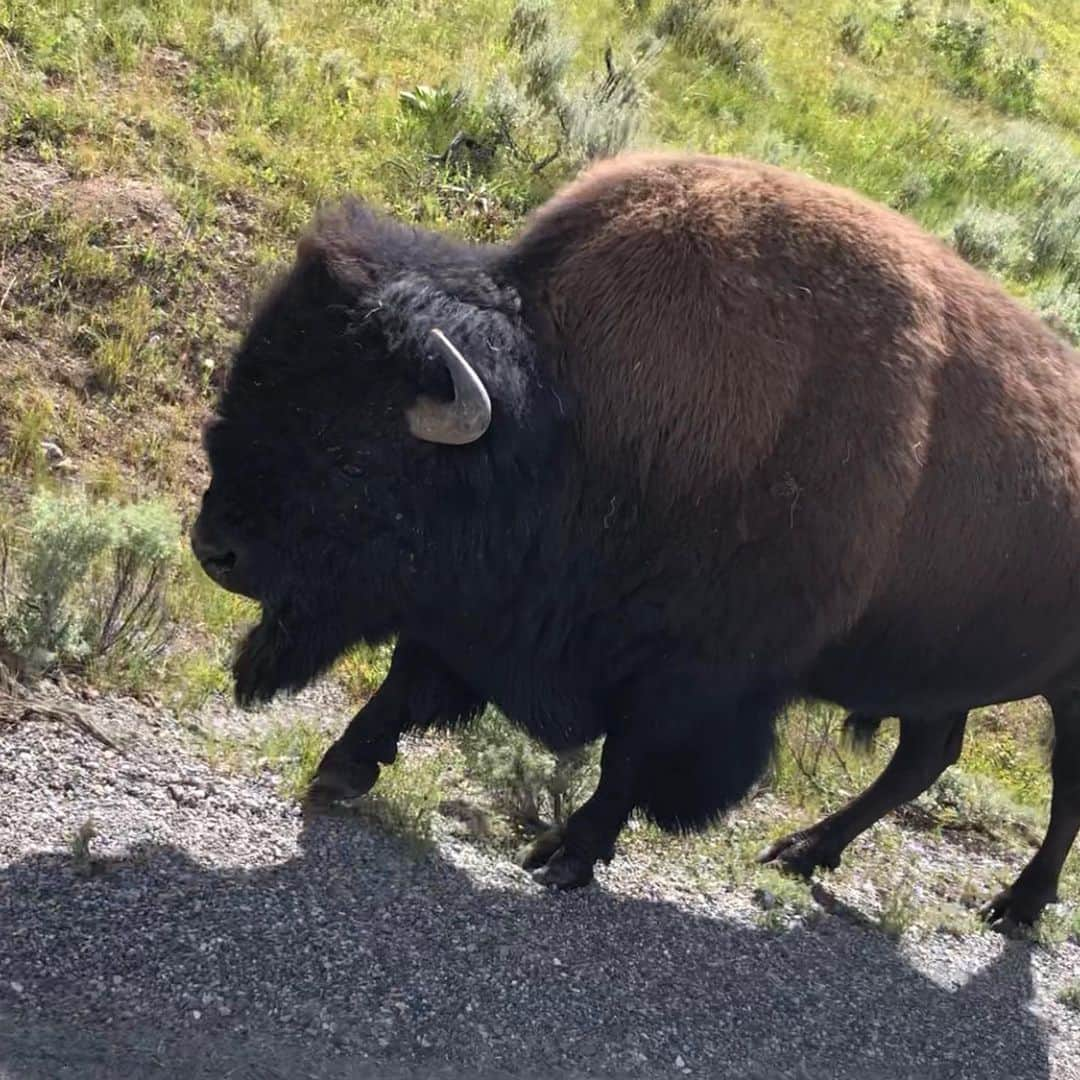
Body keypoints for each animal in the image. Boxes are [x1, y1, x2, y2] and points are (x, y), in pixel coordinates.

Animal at [192, 152, 1080, 928]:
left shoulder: (691, 678)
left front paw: (563, 855)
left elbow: (627, 760)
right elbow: (408, 681)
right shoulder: (475, 609)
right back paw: (801, 852)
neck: (572, 412)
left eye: (354, 453)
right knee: (924, 757)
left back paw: (1013, 907)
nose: (214, 549)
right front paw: (340, 769)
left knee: (1058, 793)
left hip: (1064, 691)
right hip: (943, 673)